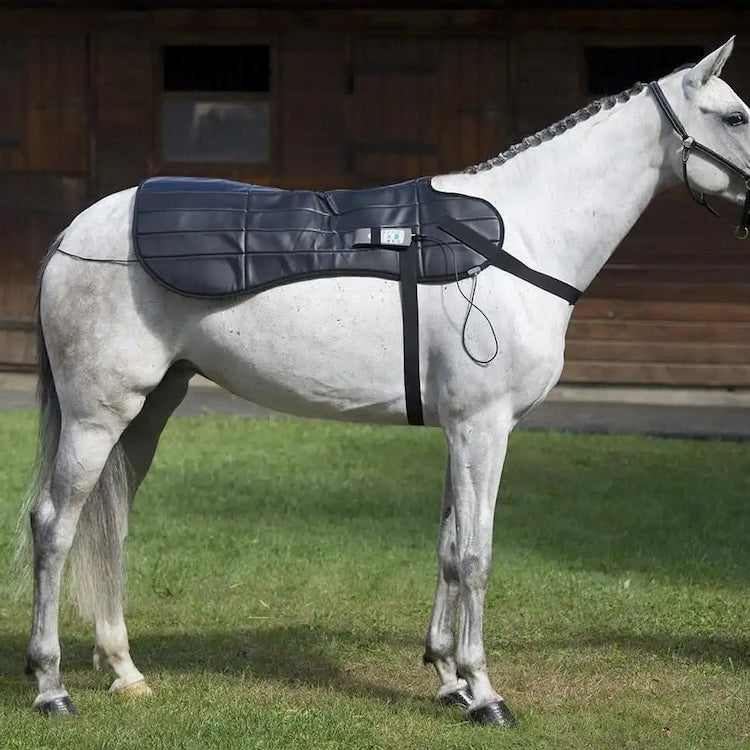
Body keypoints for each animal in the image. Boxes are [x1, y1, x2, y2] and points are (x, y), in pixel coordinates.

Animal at [19, 38, 750, 724]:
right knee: (54, 525)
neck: (516, 241)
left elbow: (450, 549)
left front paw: (449, 677)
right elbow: (477, 556)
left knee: (109, 525)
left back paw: (124, 670)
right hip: (97, 415)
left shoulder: (461, 431)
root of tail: (73, 232)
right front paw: (484, 692)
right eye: (736, 116)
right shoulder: (483, 428)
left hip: (147, 411)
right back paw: (51, 685)